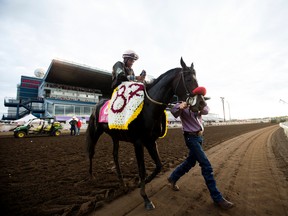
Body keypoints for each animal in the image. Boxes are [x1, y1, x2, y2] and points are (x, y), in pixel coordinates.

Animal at [85, 58, 207, 210]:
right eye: (189, 78)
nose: (201, 104)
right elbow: (142, 169)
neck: (148, 109)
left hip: (115, 136)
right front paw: (145, 198)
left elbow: (159, 165)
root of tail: (98, 103)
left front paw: (141, 183)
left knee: (115, 156)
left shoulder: (151, 141)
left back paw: (122, 183)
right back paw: (91, 176)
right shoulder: (138, 142)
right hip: (95, 131)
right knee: (91, 152)